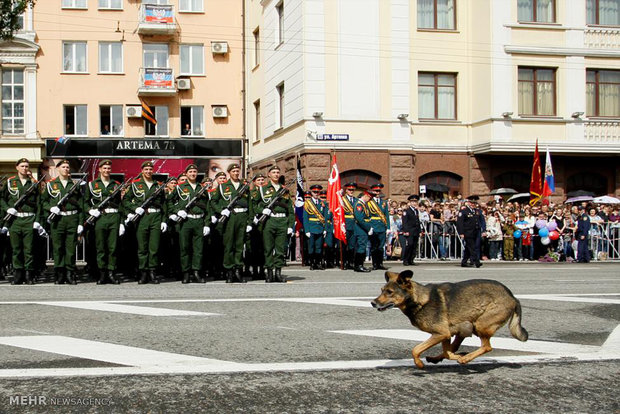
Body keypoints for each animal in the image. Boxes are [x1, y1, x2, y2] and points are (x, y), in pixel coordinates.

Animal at [370, 272, 532, 368]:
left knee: (487, 347)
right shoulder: (446, 334)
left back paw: (465, 359)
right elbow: (447, 350)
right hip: (469, 326)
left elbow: (416, 349)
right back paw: (442, 358)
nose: (372, 303)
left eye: (390, 292)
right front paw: (451, 356)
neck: (419, 300)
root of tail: (513, 297)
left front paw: (419, 363)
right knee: (456, 346)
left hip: (481, 325)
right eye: (382, 290)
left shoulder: (441, 333)